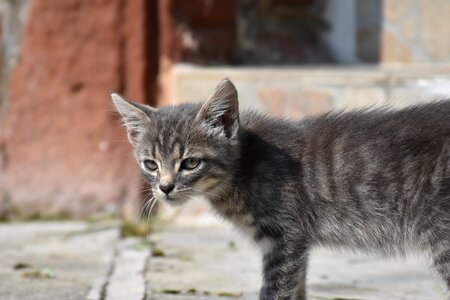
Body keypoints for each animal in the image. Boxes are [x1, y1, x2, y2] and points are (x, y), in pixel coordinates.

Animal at [111, 78, 450, 298]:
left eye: (190, 163)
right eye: (150, 164)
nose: (165, 188)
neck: (244, 167)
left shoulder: (286, 238)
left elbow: (274, 291)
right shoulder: (296, 244)